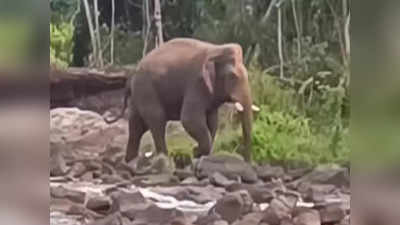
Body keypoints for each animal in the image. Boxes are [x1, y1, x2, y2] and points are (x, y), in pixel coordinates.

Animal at [104, 37, 258, 163]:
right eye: (232, 77)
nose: (247, 162)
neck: (216, 49)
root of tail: (131, 76)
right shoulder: (196, 84)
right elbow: (189, 119)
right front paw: (196, 151)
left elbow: (213, 122)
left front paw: (200, 154)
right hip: (146, 90)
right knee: (157, 121)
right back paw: (164, 159)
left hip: (139, 95)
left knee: (137, 126)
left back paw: (130, 161)